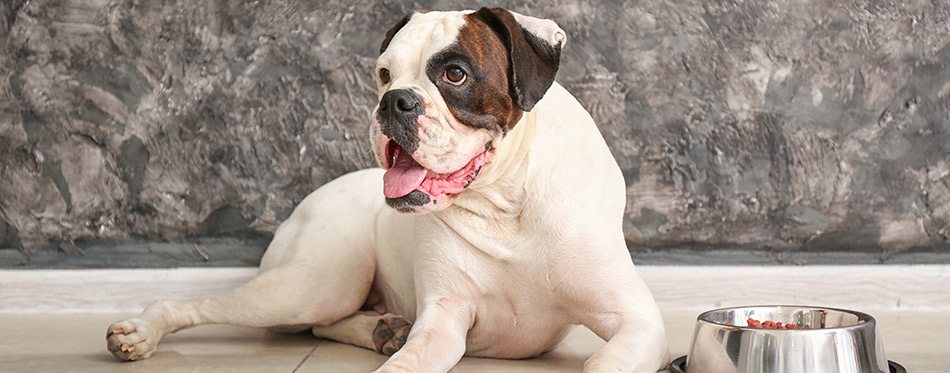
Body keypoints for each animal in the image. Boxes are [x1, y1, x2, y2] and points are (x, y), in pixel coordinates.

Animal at [108, 8, 672, 372]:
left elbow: (604, 360)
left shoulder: (636, 322)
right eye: (383, 74)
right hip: (311, 286)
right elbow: (409, 362)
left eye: (455, 74)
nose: (393, 101)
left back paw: (384, 329)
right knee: (199, 306)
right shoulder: (443, 321)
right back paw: (140, 333)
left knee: (326, 324)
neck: (506, 204)